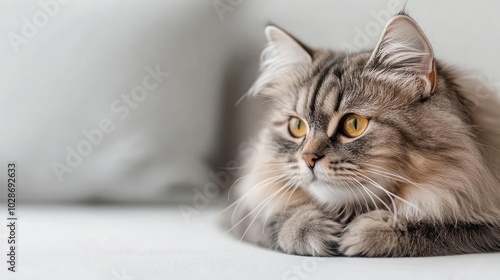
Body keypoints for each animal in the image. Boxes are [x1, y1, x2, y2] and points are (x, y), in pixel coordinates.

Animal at [229, 14, 500, 258]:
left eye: (354, 124)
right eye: (297, 127)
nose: (307, 158)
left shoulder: (478, 218)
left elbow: (437, 225)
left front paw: (365, 233)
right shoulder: (249, 216)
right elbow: (281, 219)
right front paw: (312, 230)